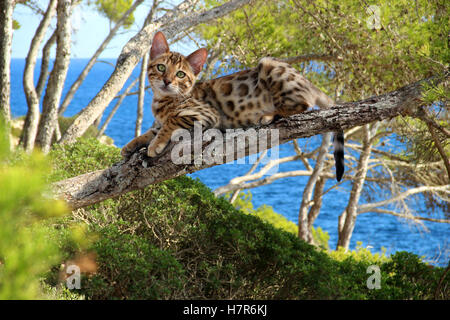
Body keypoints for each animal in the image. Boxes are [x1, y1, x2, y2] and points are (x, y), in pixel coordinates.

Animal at [120, 31, 344, 181]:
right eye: (161, 67)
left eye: (180, 74)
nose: (167, 81)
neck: (163, 100)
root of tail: (307, 82)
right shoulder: (159, 121)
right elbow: (150, 131)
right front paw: (131, 145)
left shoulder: (208, 114)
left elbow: (172, 121)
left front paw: (155, 145)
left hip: (268, 64)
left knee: (302, 104)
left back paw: (269, 115)